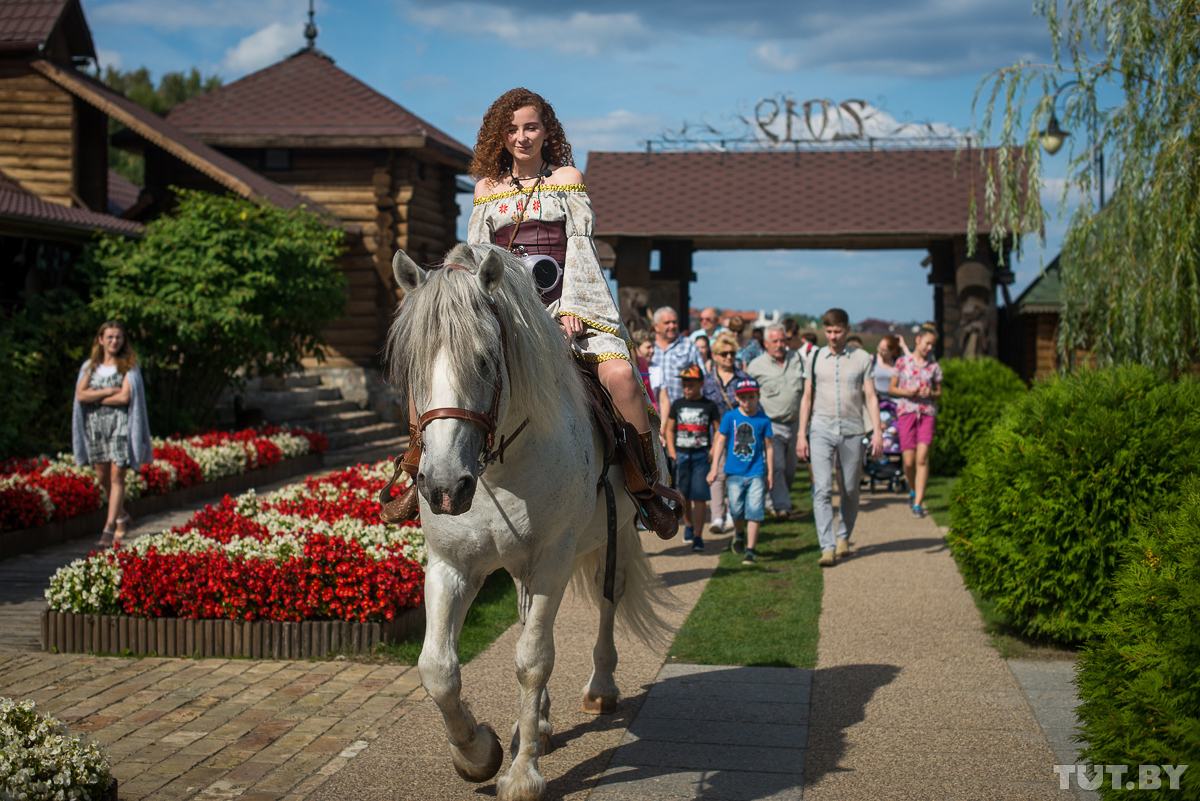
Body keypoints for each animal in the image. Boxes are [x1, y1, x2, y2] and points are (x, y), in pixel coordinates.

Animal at [386, 244, 676, 801]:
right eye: (413, 364)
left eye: (484, 359)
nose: (443, 487)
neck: (497, 472)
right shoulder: (451, 566)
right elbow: (437, 669)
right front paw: (478, 753)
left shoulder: (552, 560)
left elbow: (533, 659)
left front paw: (522, 773)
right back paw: (534, 723)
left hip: (613, 538)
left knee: (607, 600)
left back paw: (599, 688)